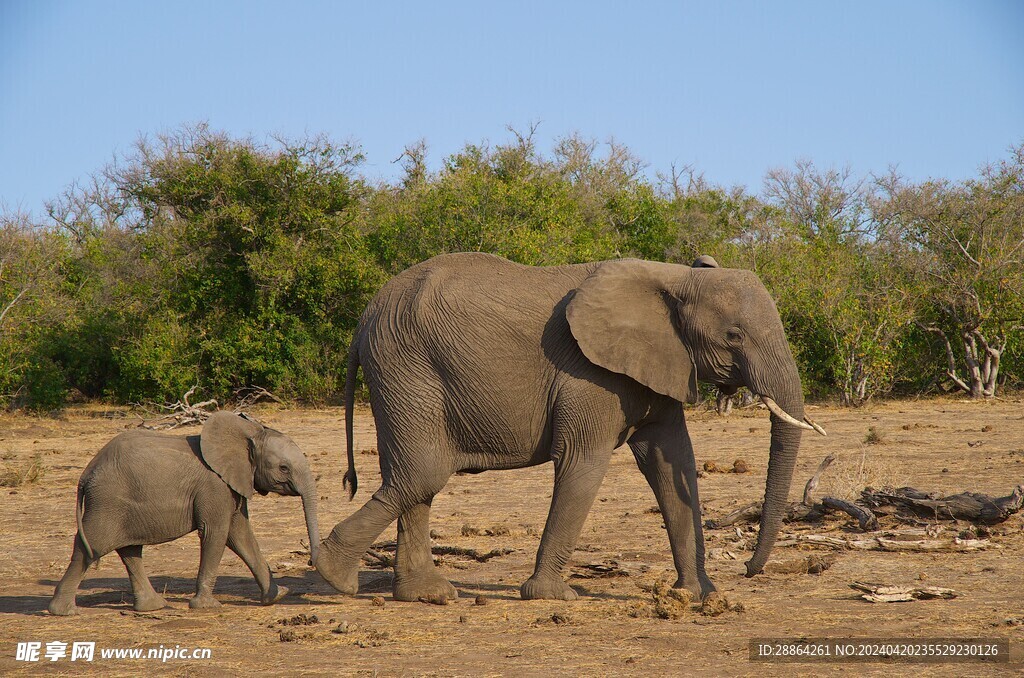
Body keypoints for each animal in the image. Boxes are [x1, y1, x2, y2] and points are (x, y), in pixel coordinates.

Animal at [47, 411, 319, 618]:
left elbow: (241, 535)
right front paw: (207, 607)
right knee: (90, 545)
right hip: (108, 501)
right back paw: (63, 611)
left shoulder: (231, 485)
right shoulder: (215, 486)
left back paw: (153, 607)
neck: (248, 432)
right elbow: (217, 533)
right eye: (283, 468)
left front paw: (277, 595)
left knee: (130, 550)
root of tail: (86, 474)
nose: (310, 562)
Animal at [315, 255, 819, 606]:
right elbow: (583, 461)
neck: (675, 277)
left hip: (400, 372)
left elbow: (671, 463)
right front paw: (553, 597)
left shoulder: (659, 366)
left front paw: (700, 596)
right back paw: (333, 575)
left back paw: (424, 595)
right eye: (734, 335)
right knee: (423, 473)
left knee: (414, 478)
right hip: (406, 368)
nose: (749, 570)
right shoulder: (589, 374)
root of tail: (363, 321)